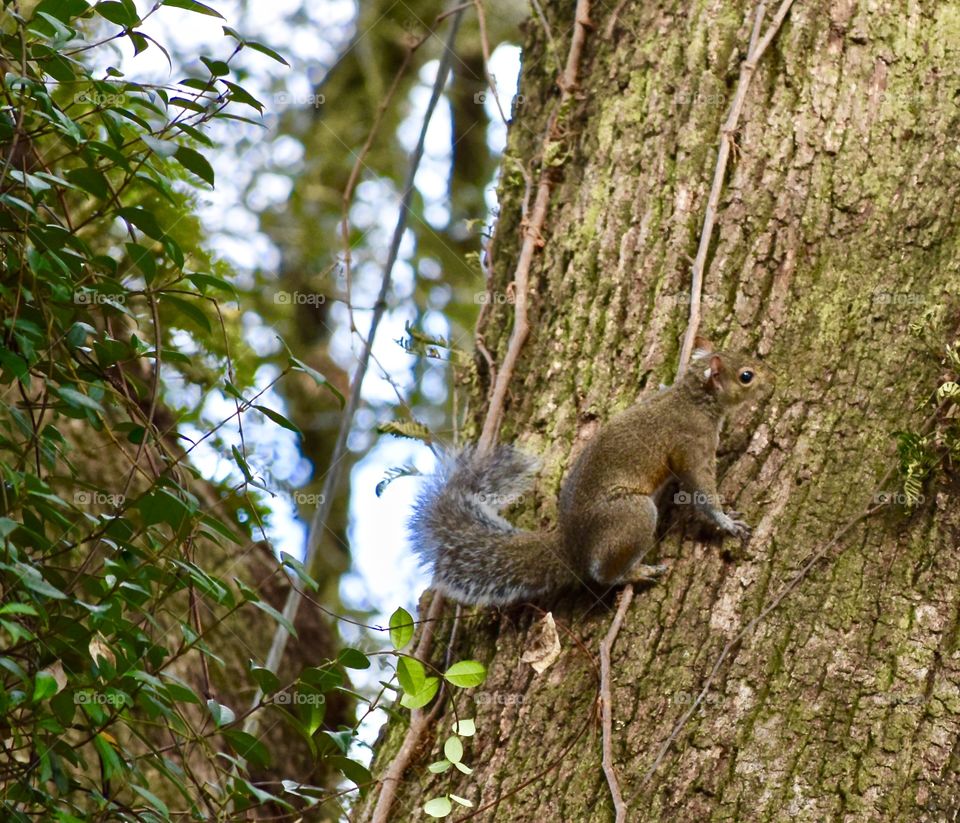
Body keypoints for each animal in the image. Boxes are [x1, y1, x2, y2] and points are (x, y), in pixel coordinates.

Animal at [409, 342, 769, 606]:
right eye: (746, 376)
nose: (773, 378)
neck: (694, 397)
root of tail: (571, 546)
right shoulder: (692, 443)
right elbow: (701, 489)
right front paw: (726, 523)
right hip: (632, 515)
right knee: (605, 575)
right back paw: (637, 573)